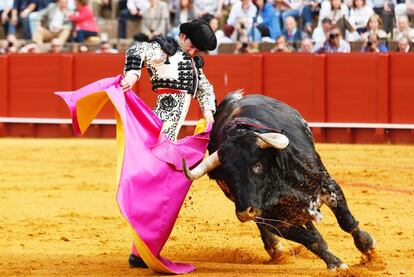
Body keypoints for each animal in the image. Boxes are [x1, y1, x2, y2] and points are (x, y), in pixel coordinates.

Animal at [184, 91, 376, 268]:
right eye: (227, 176)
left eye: (257, 166)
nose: (244, 213)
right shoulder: (273, 220)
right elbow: (310, 240)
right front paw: (335, 263)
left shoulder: (328, 185)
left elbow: (346, 222)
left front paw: (367, 247)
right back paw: (274, 248)